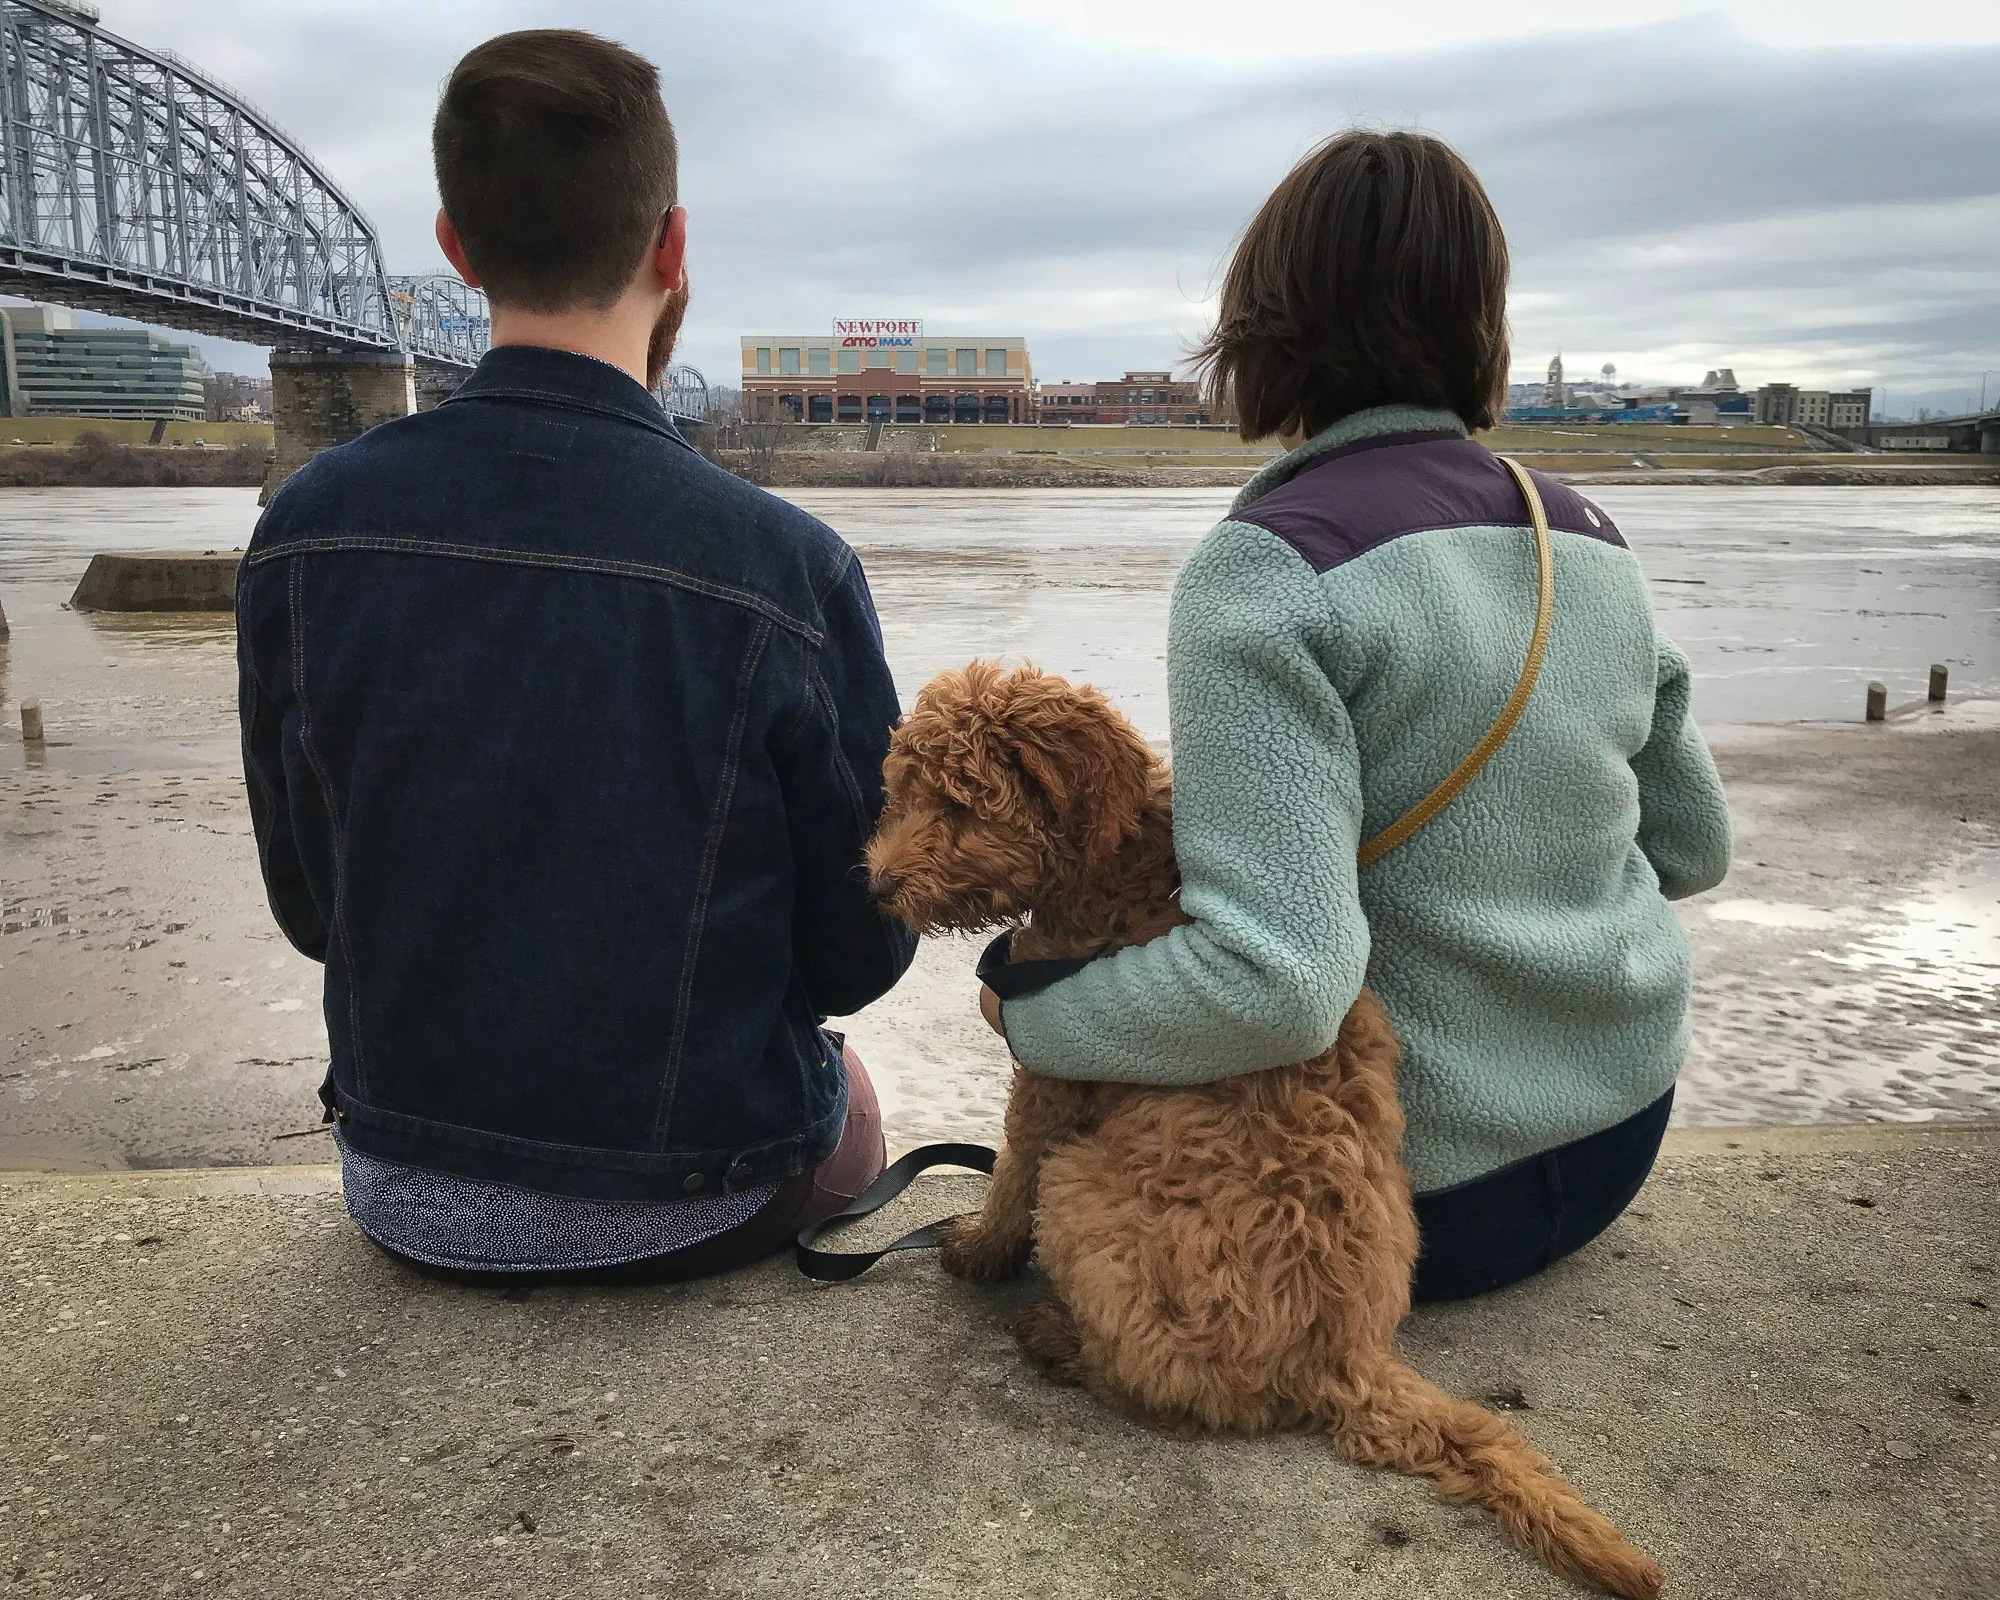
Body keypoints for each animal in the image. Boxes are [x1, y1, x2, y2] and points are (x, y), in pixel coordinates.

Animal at [865, 661, 1664, 1600]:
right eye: (902, 794)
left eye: (959, 804)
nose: (876, 884)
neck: (1121, 861)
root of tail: (1350, 1361)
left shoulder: (1052, 1062)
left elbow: (1014, 1167)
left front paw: (978, 1248)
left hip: (1087, 1192)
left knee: (1171, 1388)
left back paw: (1060, 1341)